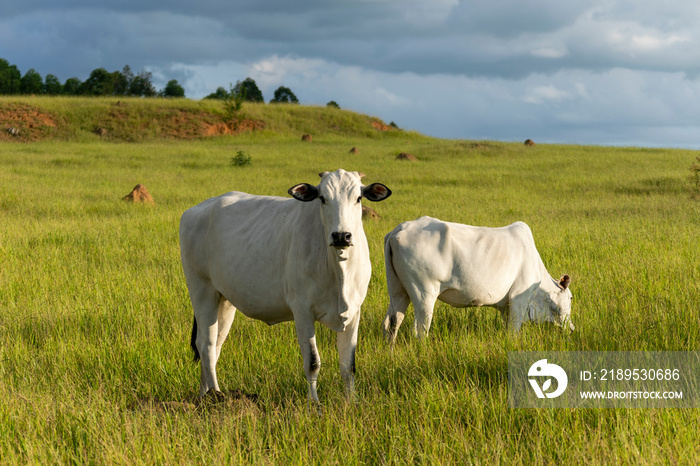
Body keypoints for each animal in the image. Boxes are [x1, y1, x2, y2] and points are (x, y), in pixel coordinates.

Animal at [178, 169, 392, 402]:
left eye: (358, 198)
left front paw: (351, 402)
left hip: (224, 300)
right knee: (206, 346)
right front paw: (314, 403)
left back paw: (204, 397)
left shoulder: (354, 311)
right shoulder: (302, 311)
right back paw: (217, 396)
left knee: (214, 345)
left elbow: (348, 366)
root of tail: (196, 210)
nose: (341, 236)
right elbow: (313, 363)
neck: (338, 269)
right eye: (322, 198)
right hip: (201, 290)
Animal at [382, 216, 576, 342]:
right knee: (420, 330)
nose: (572, 329)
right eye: (571, 297)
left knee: (391, 323)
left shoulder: (506, 307)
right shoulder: (519, 300)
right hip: (424, 293)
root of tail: (398, 230)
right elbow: (514, 331)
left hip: (398, 290)